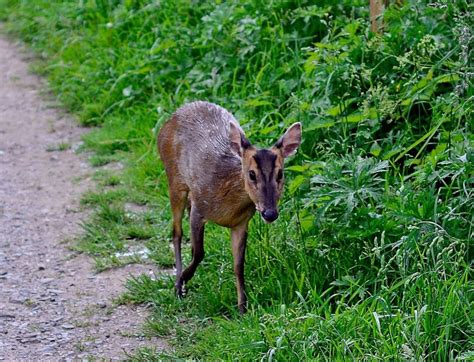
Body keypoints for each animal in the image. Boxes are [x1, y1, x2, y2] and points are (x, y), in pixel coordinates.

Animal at [157, 100, 302, 312]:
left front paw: (243, 307)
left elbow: (238, 265)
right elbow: (200, 252)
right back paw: (178, 284)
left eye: (280, 173)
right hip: (174, 178)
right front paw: (182, 282)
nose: (270, 213)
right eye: (251, 174)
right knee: (176, 232)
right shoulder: (200, 207)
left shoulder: (241, 223)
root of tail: (168, 121)